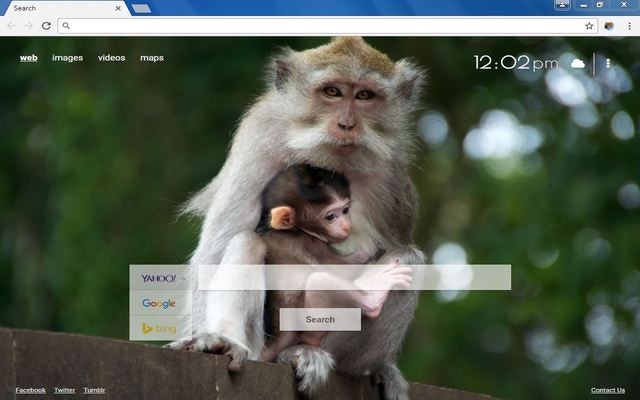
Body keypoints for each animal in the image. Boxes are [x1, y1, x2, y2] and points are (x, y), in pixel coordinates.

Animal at [255, 164, 414, 363]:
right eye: (330, 217)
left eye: (345, 210)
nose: (346, 226)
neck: (295, 230)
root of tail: (281, 337)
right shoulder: (313, 245)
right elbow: (344, 269)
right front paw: (371, 253)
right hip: (310, 323)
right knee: (320, 281)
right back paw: (374, 299)